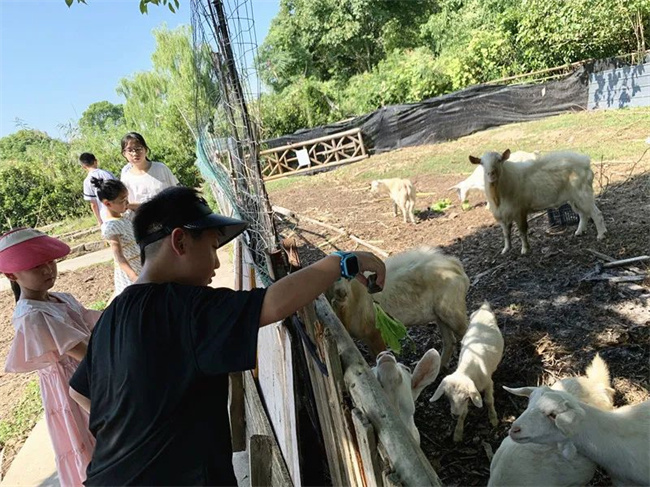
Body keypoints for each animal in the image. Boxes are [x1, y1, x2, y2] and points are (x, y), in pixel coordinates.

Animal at [329, 246, 469, 366]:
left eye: (348, 277)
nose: (341, 293)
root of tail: (454, 264)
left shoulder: (375, 332)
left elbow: (380, 355)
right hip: (440, 314)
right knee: (449, 341)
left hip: (452, 310)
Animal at [429, 301, 504, 442]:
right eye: (448, 397)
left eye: (465, 398)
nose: (454, 414)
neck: (469, 367)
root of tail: (484, 306)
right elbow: (463, 413)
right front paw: (458, 433)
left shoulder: (488, 382)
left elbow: (488, 401)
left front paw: (493, 419)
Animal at [468, 149, 607, 254]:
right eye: (481, 163)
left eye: (499, 160)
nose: (491, 174)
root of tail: (585, 162)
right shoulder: (502, 214)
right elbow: (506, 233)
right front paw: (506, 249)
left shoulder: (519, 211)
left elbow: (522, 231)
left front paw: (525, 249)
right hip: (573, 198)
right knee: (583, 214)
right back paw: (579, 232)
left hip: (583, 194)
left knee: (596, 213)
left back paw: (601, 235)